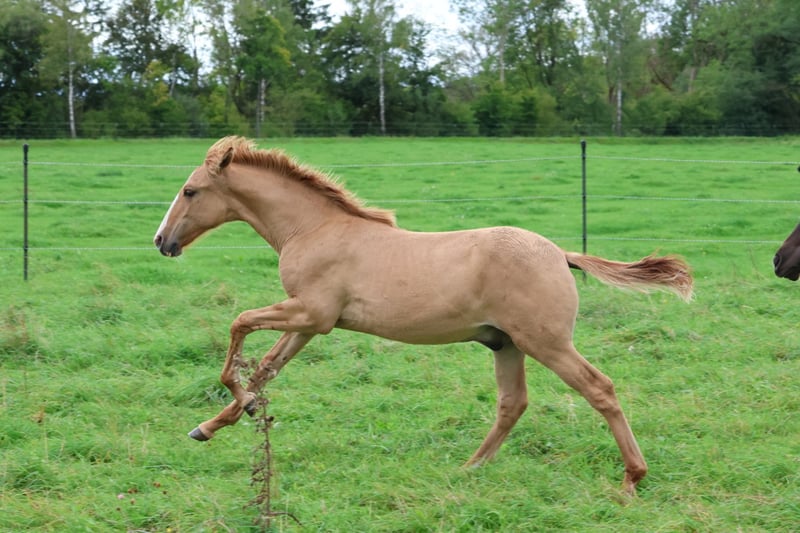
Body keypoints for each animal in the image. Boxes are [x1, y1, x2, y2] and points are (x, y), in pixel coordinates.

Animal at [153, 136, 693, 495]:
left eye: (190, 190)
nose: (162, 241)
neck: (314, 228)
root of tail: (561, 254)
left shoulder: (309, 313)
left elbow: (239, 324)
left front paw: (235, 404)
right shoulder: (307, 323)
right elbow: (267, 368)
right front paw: (215, 423)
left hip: (546, 342)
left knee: (599, 388)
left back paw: (631, 478)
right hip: (506, 344)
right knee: (512, 403)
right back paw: (469, 468)